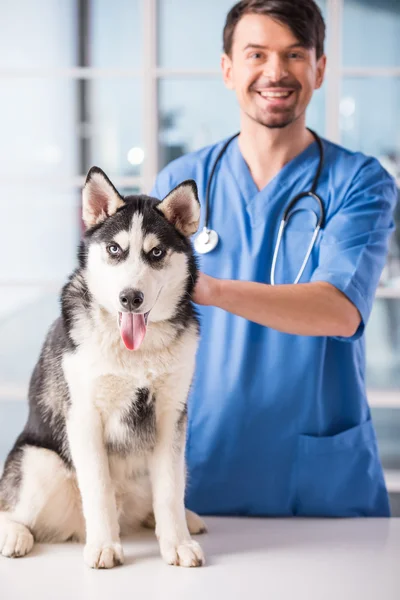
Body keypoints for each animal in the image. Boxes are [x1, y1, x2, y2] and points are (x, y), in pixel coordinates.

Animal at [0, 168, 206, 568]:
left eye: (156, 253)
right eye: (115, 250)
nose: (130, 298)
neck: (135, 352)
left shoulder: (171, 416)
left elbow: (170, 491)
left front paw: (177, 542)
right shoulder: (83, 416)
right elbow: (97, 488)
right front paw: (104, 545)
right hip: (40, 465)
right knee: (11, 507)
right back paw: (15, 534)